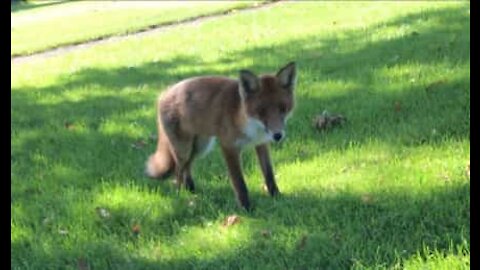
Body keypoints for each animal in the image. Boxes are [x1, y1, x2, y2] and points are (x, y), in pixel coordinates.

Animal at [145, 61, 296, 211]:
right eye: (261, 111)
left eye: (283, 109)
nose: (277, 135)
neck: (246, 120)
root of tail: (163, 93)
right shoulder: (229, 146)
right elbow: (239, 182)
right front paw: (246, 208)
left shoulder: (261, 143)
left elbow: (269, 174)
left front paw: (277, 196)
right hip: (184, 149)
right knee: (178, 171)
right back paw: (180, 196)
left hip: (200, 147)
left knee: (188, 167)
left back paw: (192, 191)